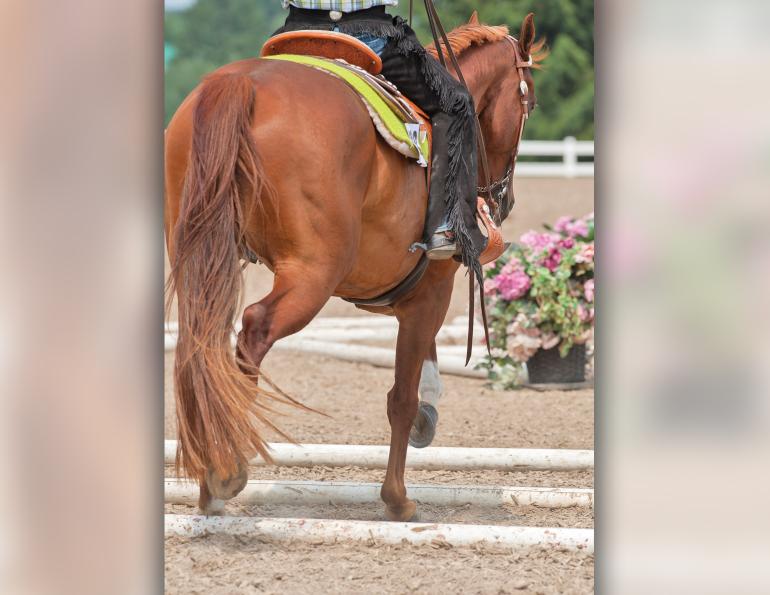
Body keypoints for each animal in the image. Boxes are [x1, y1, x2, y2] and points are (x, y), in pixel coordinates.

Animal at [165, 12, 545, 522]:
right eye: (529, 101)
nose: (504, 199)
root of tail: (243, 84)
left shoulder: (409, 291)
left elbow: (422, 369)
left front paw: (426, 420)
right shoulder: (432, 290)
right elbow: (401, 396)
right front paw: (398, 498)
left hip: (199, 259)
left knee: (200, 343)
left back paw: (209, 481)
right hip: (311, 274)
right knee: (254, 329)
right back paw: (227, 471)